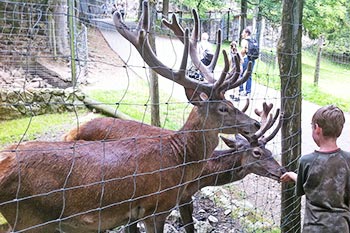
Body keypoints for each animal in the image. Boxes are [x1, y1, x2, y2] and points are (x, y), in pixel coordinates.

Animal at [0, 2, 260, 233]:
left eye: (232, 103)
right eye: (223, 108)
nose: (255, 123)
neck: (179, 158)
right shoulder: (156, 207)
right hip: (30, 218)